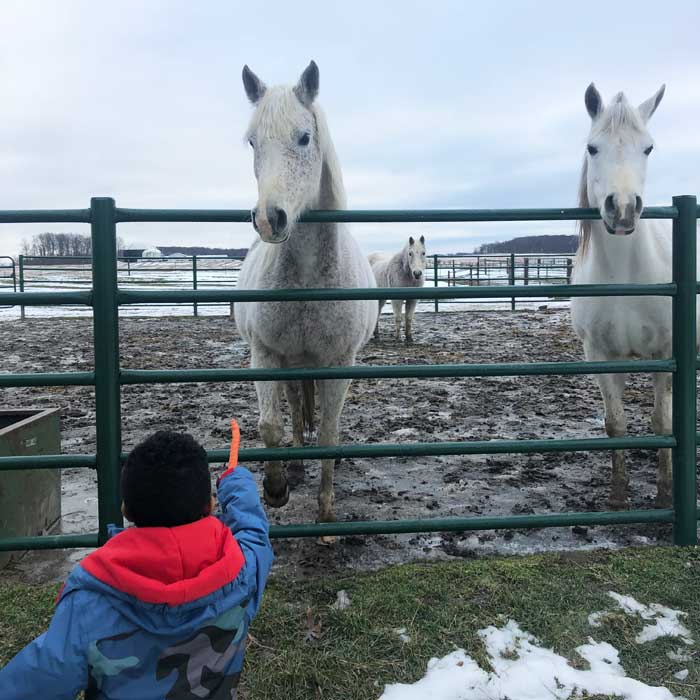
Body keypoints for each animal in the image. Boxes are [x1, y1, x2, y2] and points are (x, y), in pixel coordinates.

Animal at [234, 61, 377, 529]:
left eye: (303, 137)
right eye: (252, 142)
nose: (269, 219)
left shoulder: (340, 363)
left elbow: (330, 431)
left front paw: (327, 512)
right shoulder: (265, 355)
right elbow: (270, 425)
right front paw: (276, 488)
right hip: (290, 363)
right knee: (296, 403)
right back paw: (295, 466)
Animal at [570, 82, 698, 509]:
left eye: (649, 148)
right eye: (593, 148)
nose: (623, 208)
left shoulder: (667, 352)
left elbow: (662, 422)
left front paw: (665, 493)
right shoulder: (601, 355)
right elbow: (616, 423)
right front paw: (618, 494)